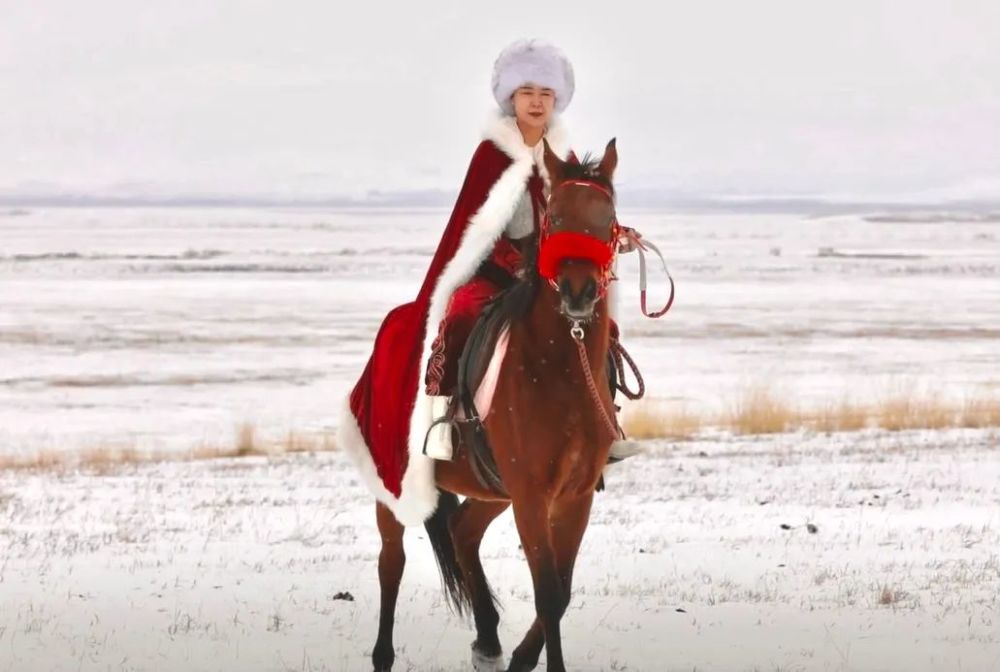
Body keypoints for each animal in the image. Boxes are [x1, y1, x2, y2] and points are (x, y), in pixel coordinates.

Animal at [371, 138, 622, 672]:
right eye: (556, 218)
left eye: (607, 218)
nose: (579, 292)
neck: (558, 373)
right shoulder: (531, 493)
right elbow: (548, 593)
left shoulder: (574, 495)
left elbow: (562, 591)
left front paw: (520, 657)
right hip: (395, 484)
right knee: (391, 562)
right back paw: (383, 655)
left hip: (491, 489)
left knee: (463, 531)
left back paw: (487, 639)